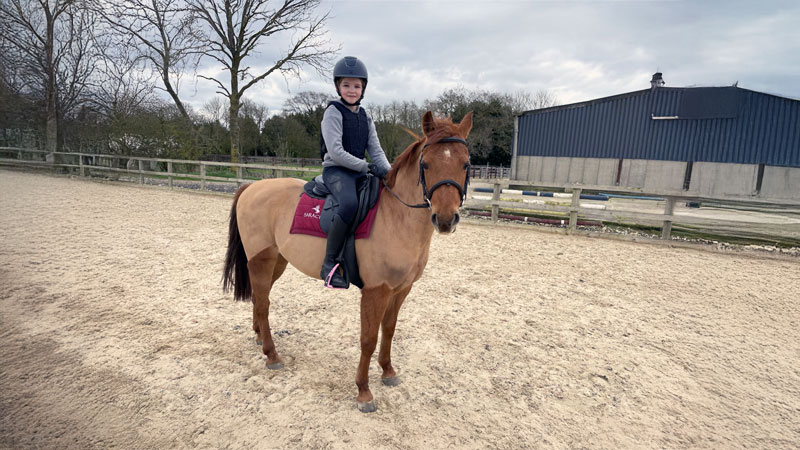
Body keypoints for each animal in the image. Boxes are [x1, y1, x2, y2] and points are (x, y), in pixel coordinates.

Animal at [222, 111, 473, 412]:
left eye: (465, 164)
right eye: (425, 164)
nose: (445, 219)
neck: (396, 217)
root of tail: (251, 187)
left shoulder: (401, 289)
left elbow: (389, 330)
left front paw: (388, 371)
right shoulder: (376, 291)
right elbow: (368, 339)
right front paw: (363, 391)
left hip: (277, 262)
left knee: (260, 300)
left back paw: (260, 337)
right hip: (262, 260)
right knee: (263, 302)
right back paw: (272, 355)